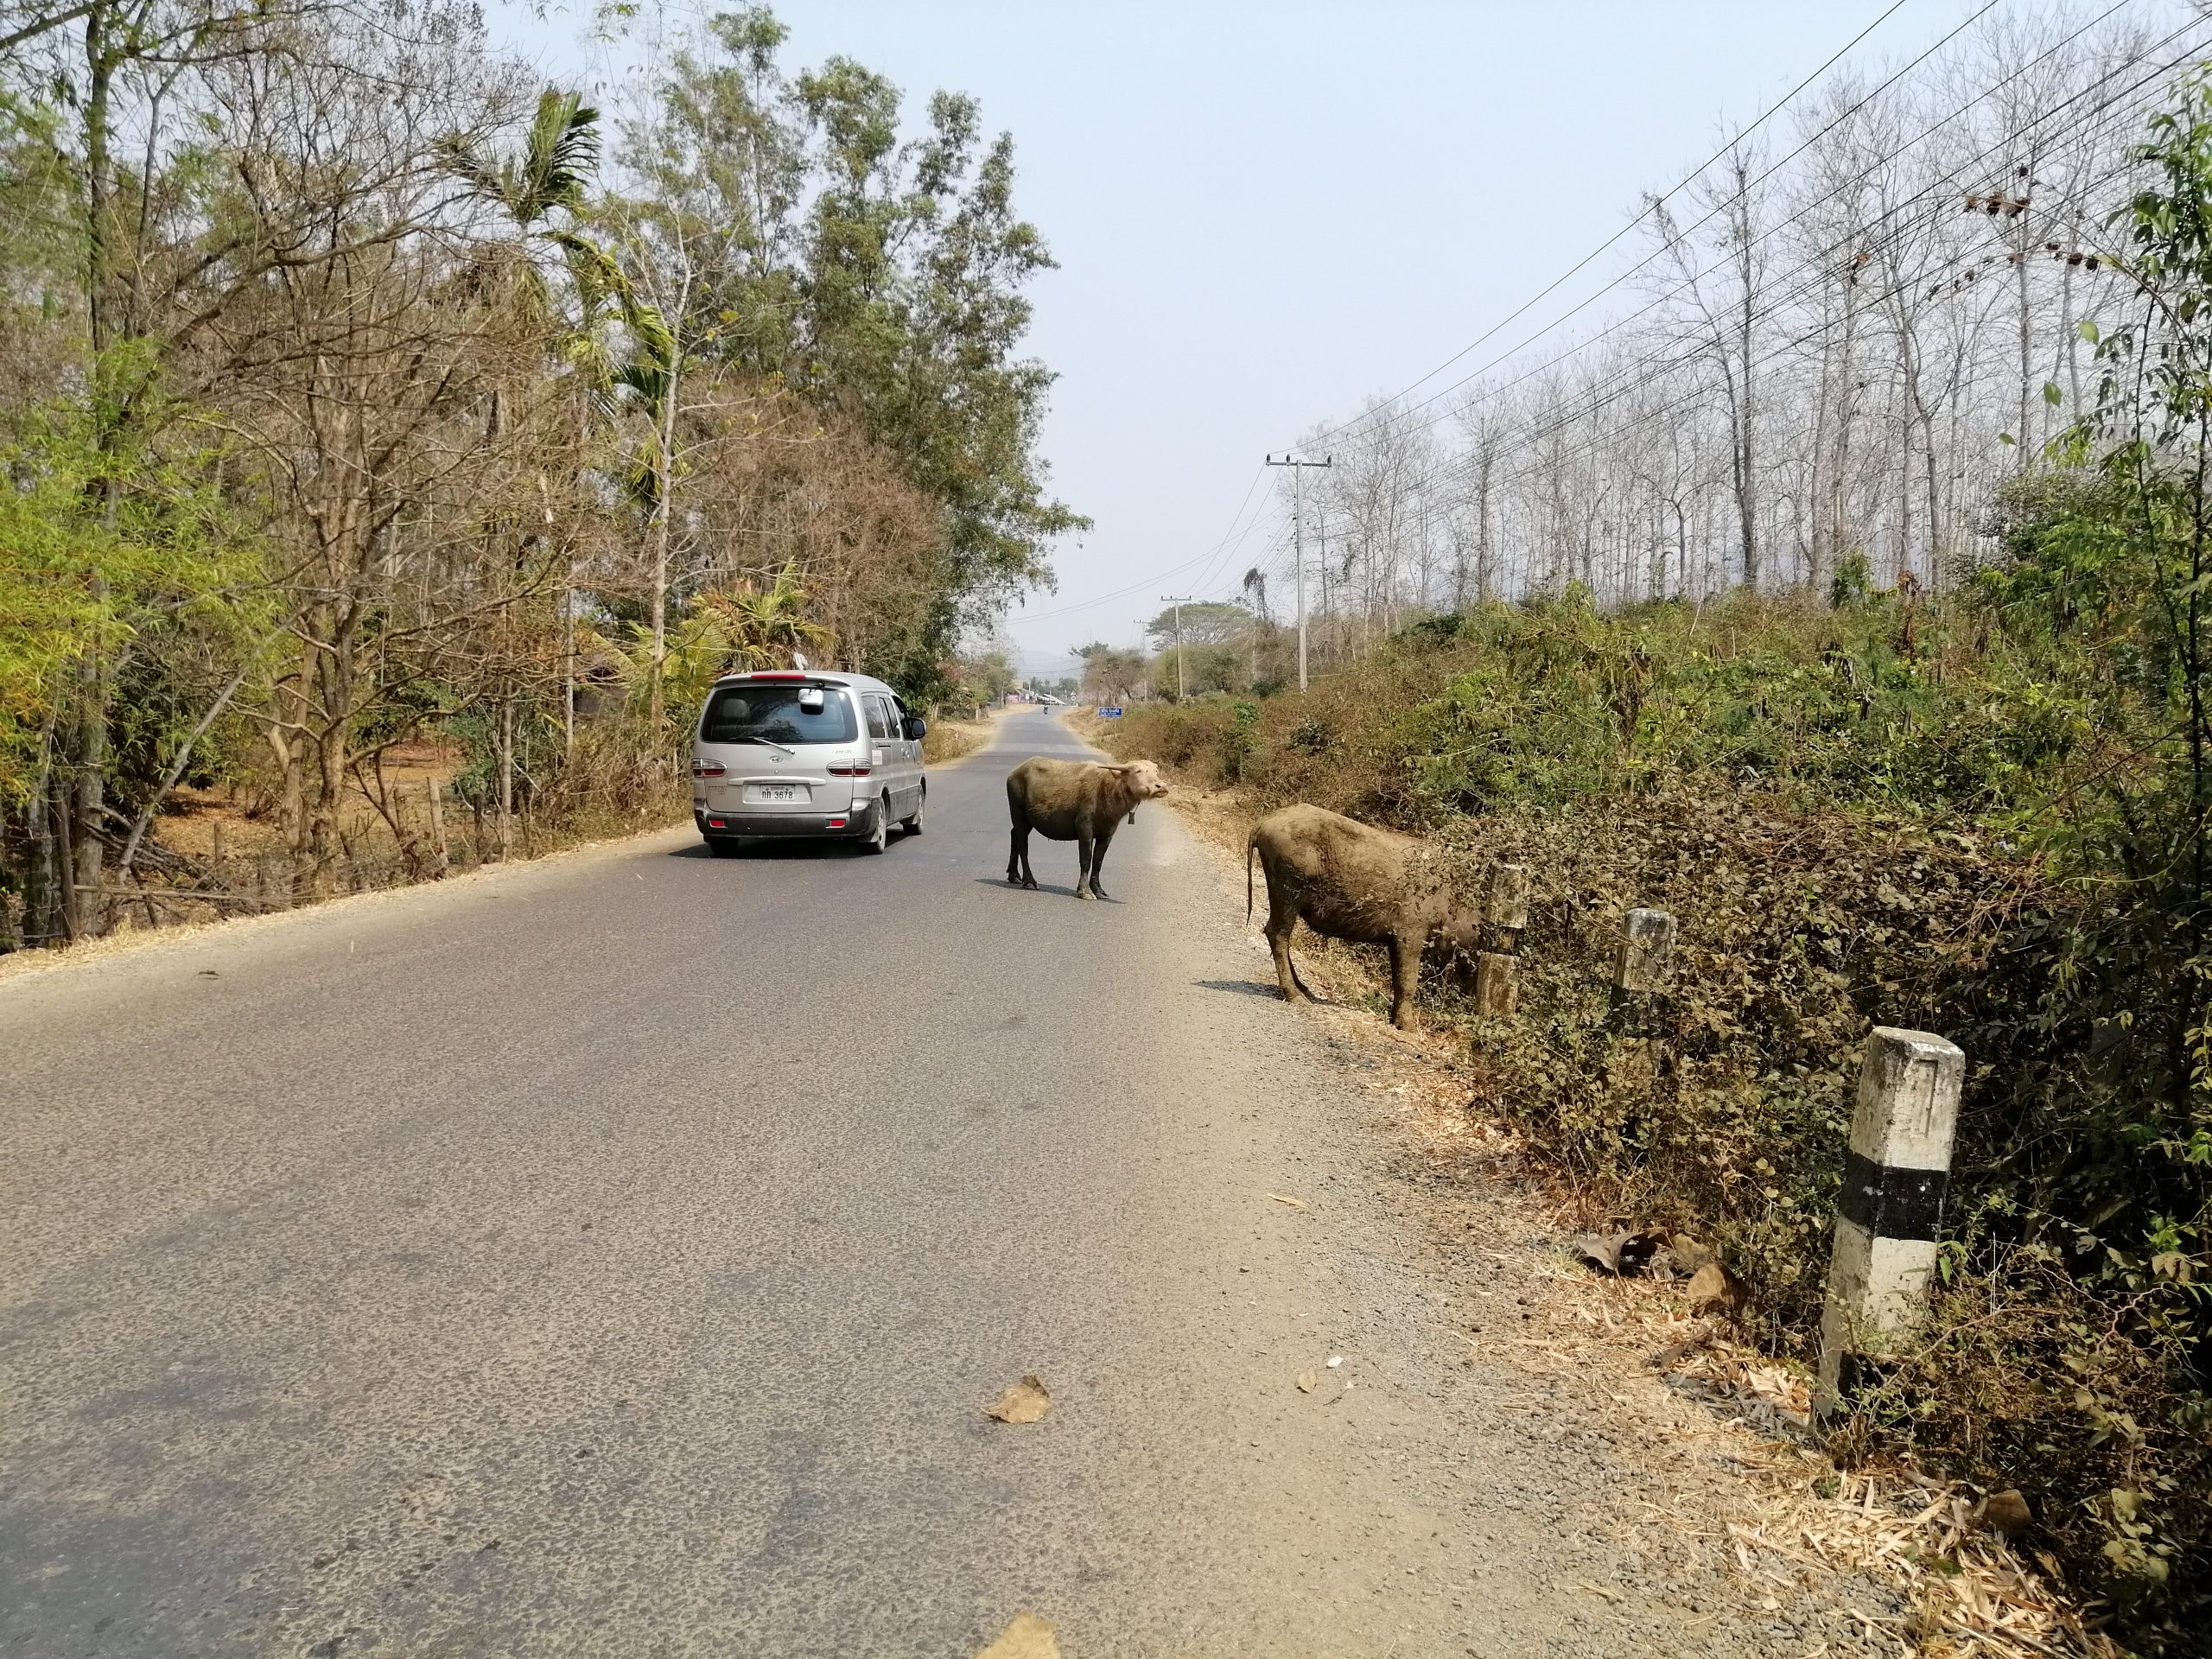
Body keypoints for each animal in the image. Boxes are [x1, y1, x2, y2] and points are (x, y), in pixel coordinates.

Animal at [1008, 760, 1176, 902]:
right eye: (1137, 771)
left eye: (1155, 771)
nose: (1161, 786)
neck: (1106, 792)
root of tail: (1015, 772)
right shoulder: (1085, 829)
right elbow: (1086, 860)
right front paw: (1085, 891)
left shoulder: (1107, 834)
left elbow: (1098, 861)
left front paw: (1099, 890)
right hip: (1018, 812)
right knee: (1023, 845)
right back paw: (1029, 881)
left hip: (1029, 820)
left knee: (1014, 835)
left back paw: (1014, 875)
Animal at [1247, 804, 1486, 1026]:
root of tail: (1264, 823)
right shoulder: (1410, 933)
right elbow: (1407, 980)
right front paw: (1407, 1026)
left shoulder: (1394, 940)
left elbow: (1397, 978)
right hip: (1286, 891)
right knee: (1277, 934)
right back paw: (1297, 996)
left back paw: (1306, 991)